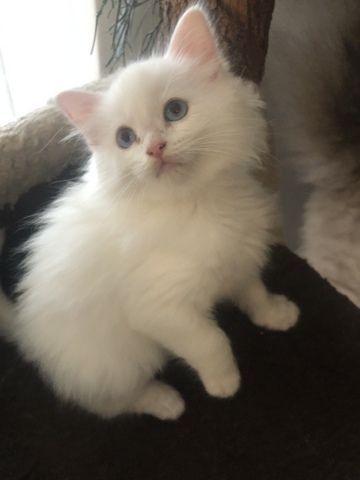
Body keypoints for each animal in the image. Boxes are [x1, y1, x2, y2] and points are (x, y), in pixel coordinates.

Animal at [0, 7, 298, 420]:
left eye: (175, 111)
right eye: (125, 138)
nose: (155, 148)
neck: (199, 203)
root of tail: (29, 334)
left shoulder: (240, 257)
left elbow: (253, 291)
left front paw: (275, 314)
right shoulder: (159, 309)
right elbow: (211, 339)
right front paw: (224, 383)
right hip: (121, 359)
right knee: (106, 401)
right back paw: (164, 400)